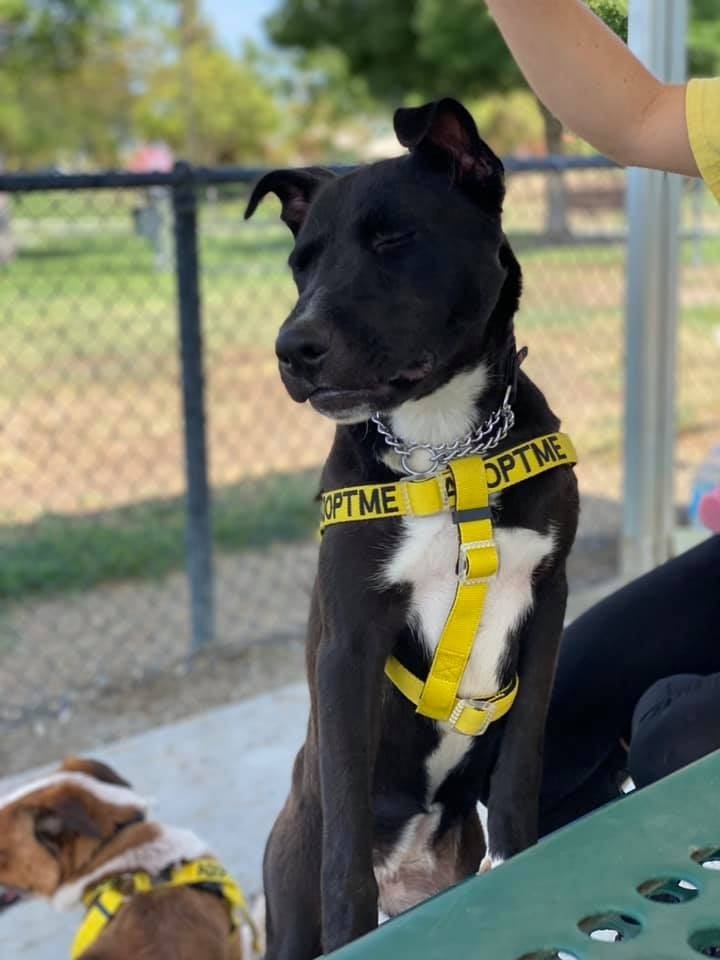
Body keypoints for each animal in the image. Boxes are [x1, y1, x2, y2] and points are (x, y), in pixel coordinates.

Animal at [246, 99, 580, 960]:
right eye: (300, 264)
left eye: (393, 241)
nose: (291, 349)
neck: (447, 451)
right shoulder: (351, 640)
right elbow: (344, 859)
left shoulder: (548, 599)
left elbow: (521, 764)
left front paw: (526, 864)